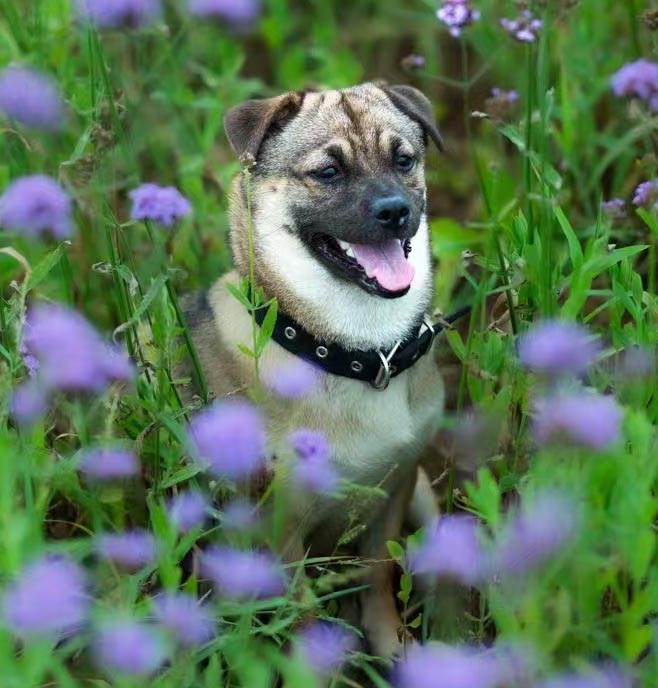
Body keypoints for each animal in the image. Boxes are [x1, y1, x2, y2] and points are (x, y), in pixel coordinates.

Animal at [182, 83, 444, 660]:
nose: (396, 211)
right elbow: (300, 616)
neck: (354, 351)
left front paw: (391, 645)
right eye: (327, 172)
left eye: (404, 160)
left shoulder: (395, 489)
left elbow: (378, 573)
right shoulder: (278, 527)